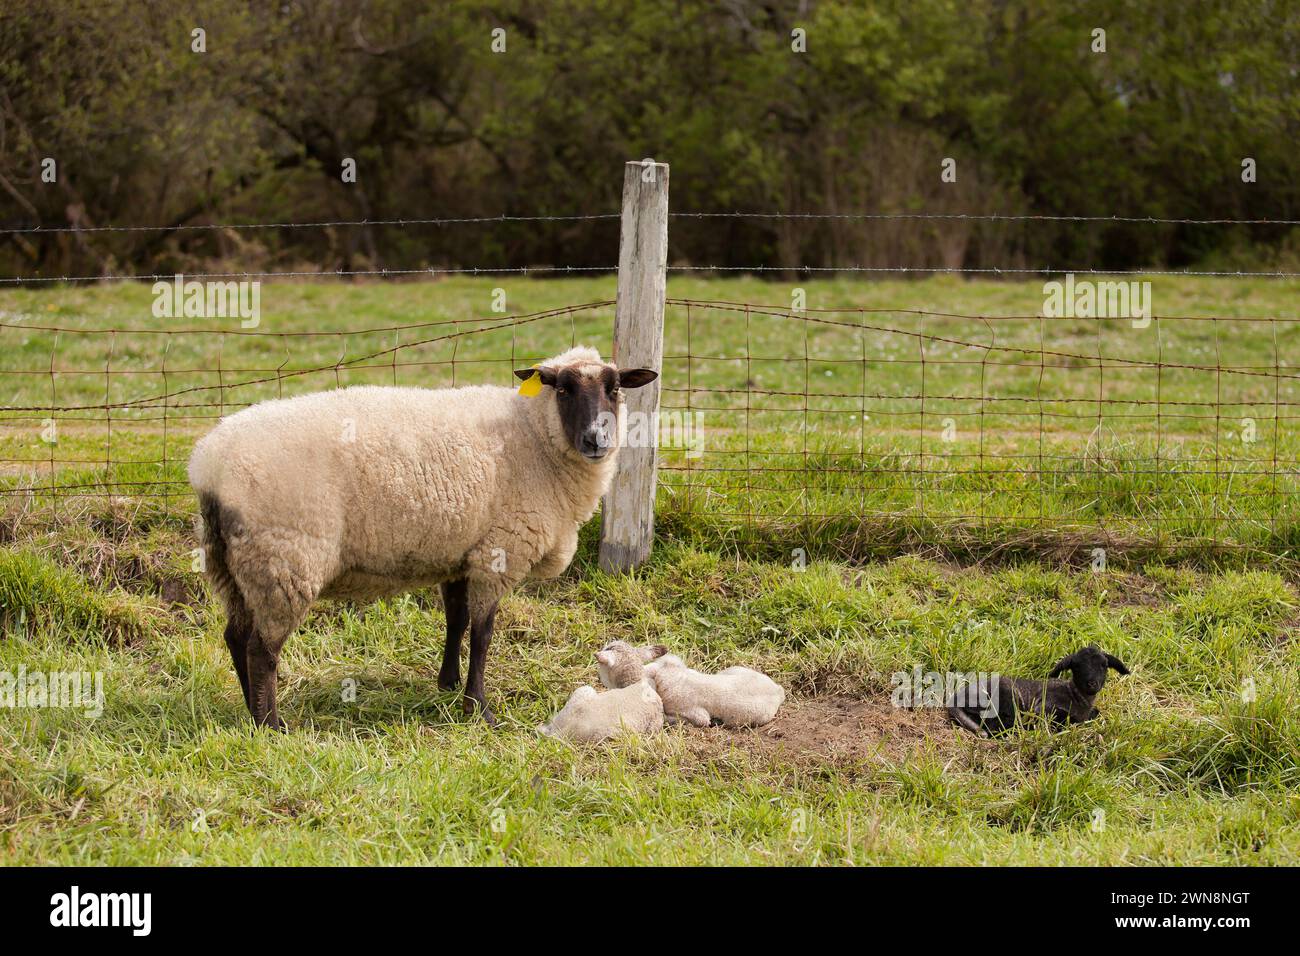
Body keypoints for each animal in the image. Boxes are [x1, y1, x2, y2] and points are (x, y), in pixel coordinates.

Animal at [189, 348, 660, 728]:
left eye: (615, 389)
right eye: (562, 389)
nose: (597, 439)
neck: (534, 438)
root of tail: (207, 464)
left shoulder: (461, 551)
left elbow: (456, 620)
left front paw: (448, 684)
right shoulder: (499, 551)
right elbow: (484, 632)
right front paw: (479, 708)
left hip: (234, 564)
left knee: (235, 637)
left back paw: (251, 712)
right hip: (285, 560)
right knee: (262, 649)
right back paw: (271, 725)